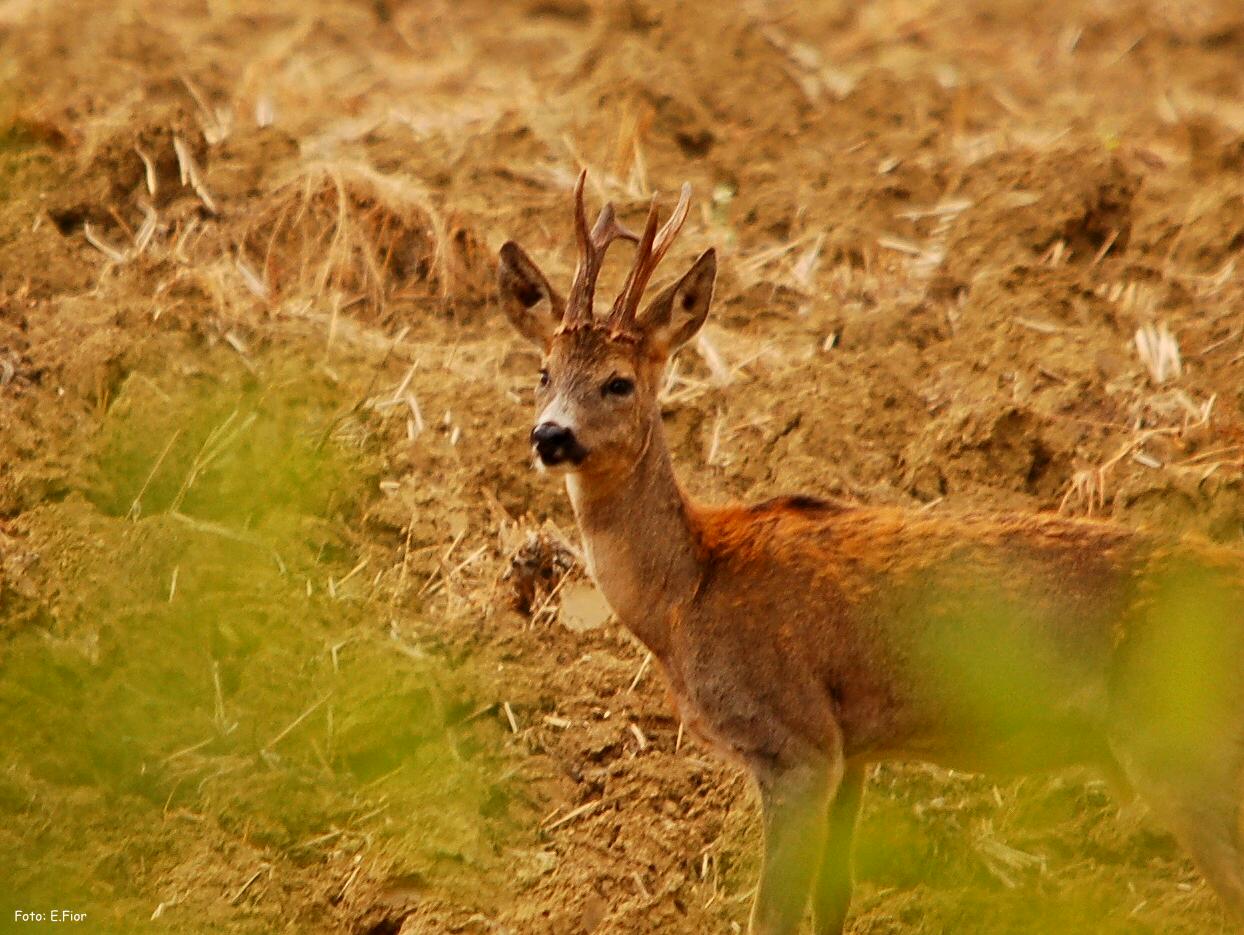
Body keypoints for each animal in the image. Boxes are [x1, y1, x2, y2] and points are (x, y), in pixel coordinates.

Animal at [495, 170, 1244, 935]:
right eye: (543, 371)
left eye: (619, 380)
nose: (549, 435)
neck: (687, 591)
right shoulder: (852, 748)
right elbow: (835, 897)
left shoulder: (796, 741)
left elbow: (772, 915)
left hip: (1181, 741)